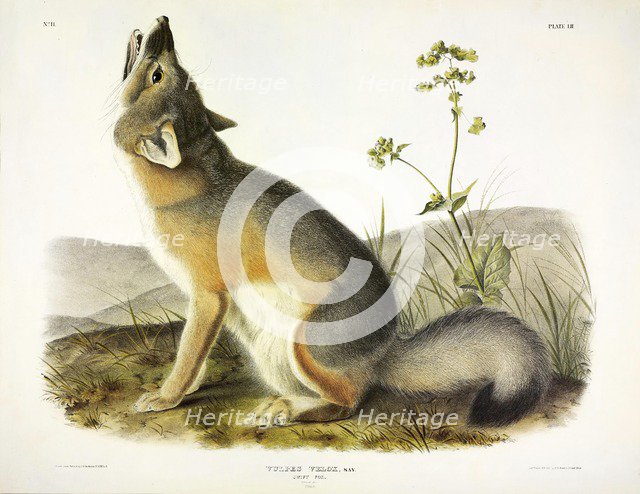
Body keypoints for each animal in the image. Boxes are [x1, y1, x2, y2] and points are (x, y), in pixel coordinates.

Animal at [113, 16, 552, 427]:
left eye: (161, 73)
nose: (165, 22)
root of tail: (386, 351)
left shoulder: (208, 296)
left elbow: (188, 355)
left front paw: (166, 396)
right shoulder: (211, 304)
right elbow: (197, 359)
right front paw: (185, 390)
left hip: (303, 345)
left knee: (349, 401)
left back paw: (286, 409)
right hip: (269, 348)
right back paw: (282, 403)